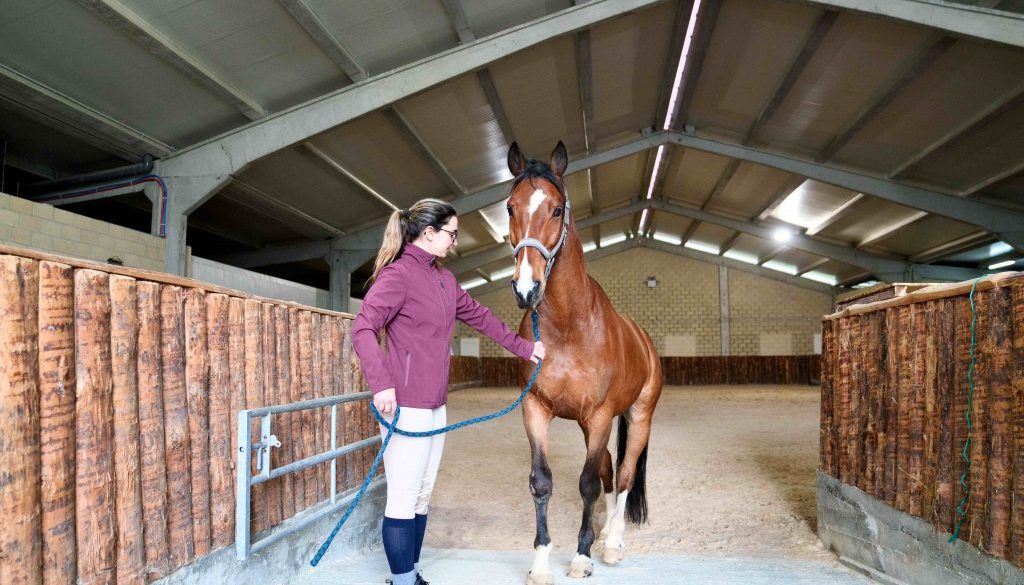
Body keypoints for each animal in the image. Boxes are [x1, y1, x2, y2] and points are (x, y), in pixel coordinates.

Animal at [505, 141, 663, 584]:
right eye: (510, 207)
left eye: (557, 209)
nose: (526, 288)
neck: (568, 326)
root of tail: (643, 338)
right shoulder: (535, 409)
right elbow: (542, 482)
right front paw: (542, 562)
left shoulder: (601, 415)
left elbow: (589, 483)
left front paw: (581, 556)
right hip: (587, 423)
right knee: (610, 471)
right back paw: (605, 530)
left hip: (637, 416)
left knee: (623, 475)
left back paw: (612, 543)